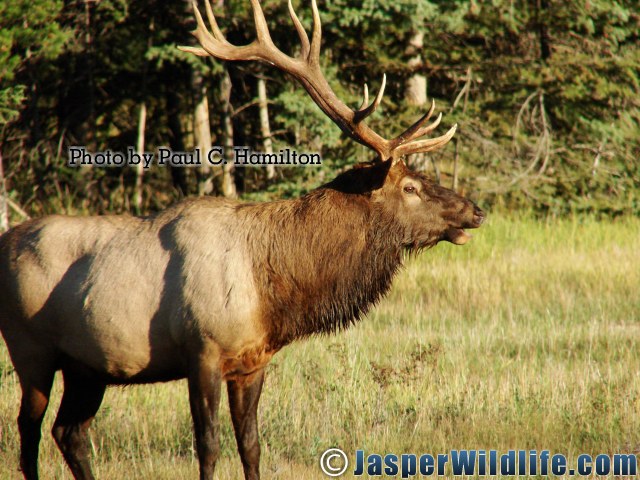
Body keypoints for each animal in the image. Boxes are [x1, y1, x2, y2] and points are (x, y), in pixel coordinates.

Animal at [0, 0, 480, 480]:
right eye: (411, 188)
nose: (475, 210)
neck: (271, 292)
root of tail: (5, 240)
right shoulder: (202, 352)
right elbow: (209, 445)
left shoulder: (252, 362)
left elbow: (251, 444)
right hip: (30, 350)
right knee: (29, 432)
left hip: (87, 367)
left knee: (69, 432)